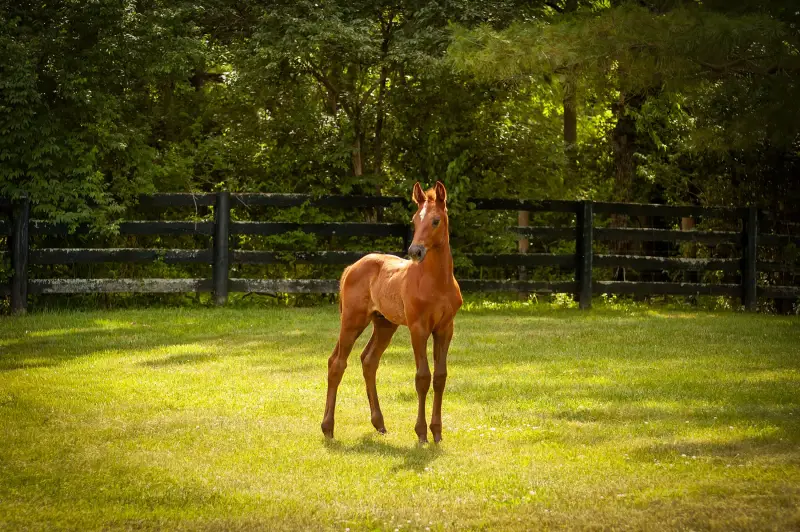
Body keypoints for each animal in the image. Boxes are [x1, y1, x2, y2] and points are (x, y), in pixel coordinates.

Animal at [321, 181, 463, 444]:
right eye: (415, 220)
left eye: (435, 220)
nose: (415, 251)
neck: (437, 282)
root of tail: (351, 267)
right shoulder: (418, 329)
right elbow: (422, 377)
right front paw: (421, 433)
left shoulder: (445, 329)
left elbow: (440, 377)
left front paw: (437, 432)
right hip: (352, 321)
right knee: (337, 363)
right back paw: (328, 428)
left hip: (385, 324)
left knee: (369, 361)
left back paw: (379, 423)